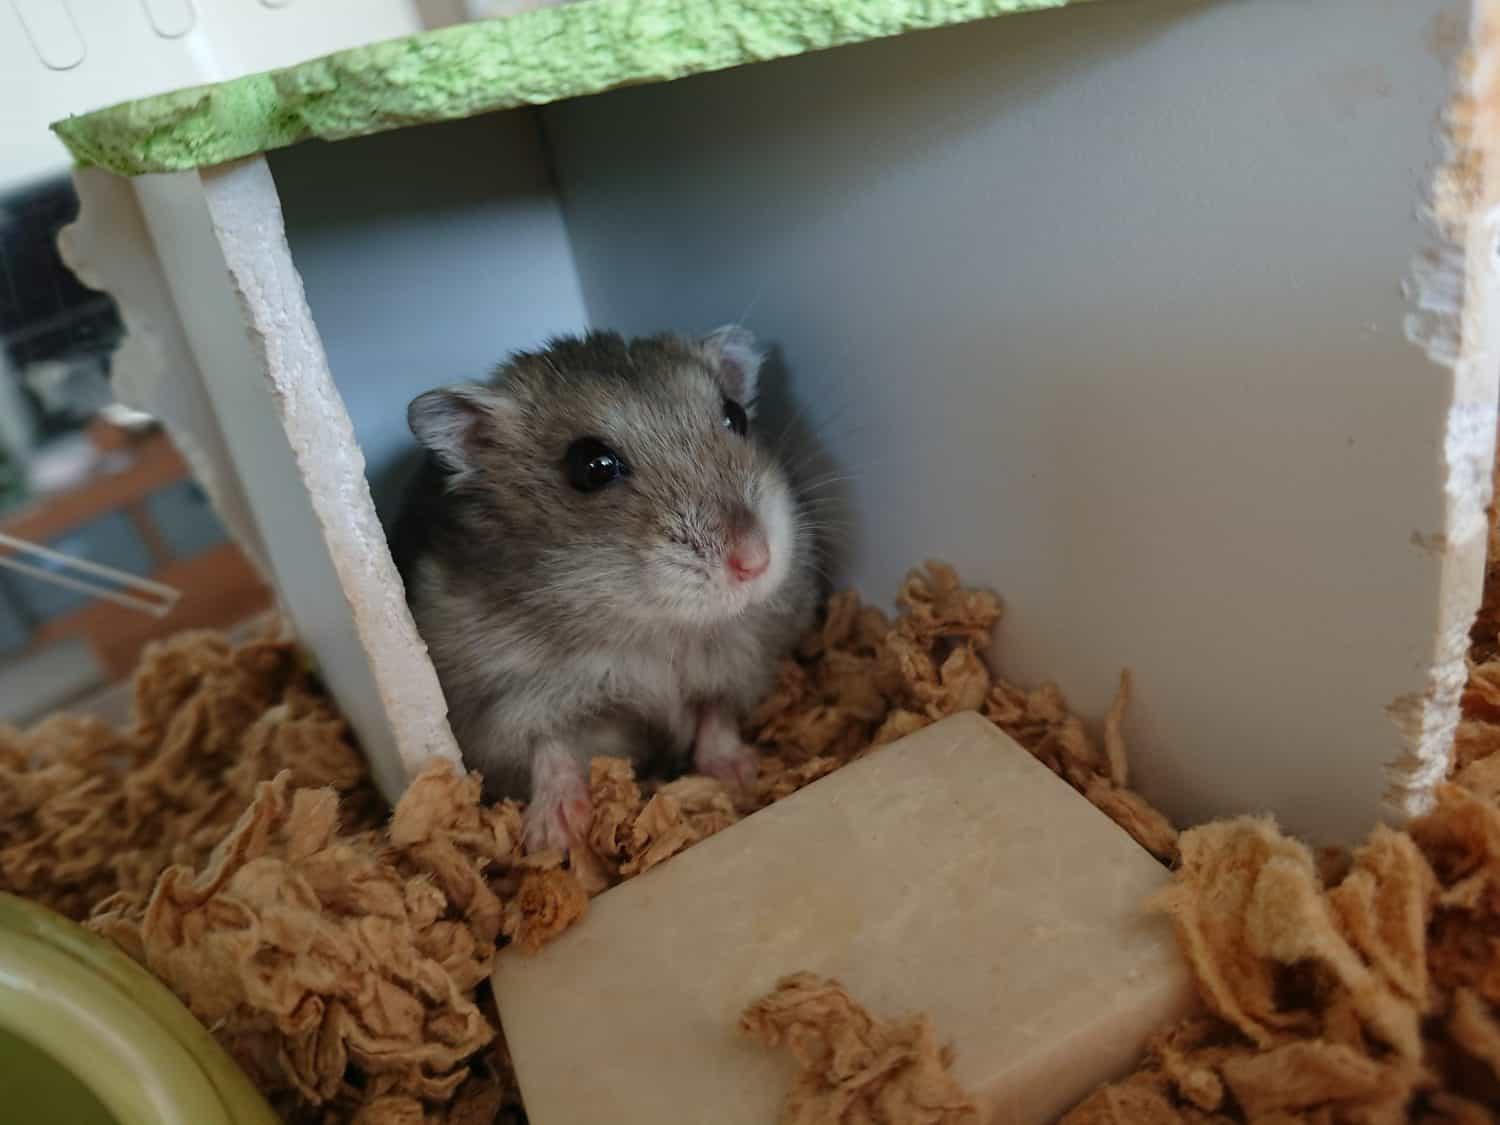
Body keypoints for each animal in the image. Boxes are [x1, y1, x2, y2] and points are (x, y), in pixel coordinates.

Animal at [391, 327, 820, 852]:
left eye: (734, 416)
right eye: (591, 466)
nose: (755, 561)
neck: (652, 630)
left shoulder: (740, 664)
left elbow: (715, 714)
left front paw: (741, 773)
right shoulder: (500, 702)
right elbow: (544, 745)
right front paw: (556, 836)